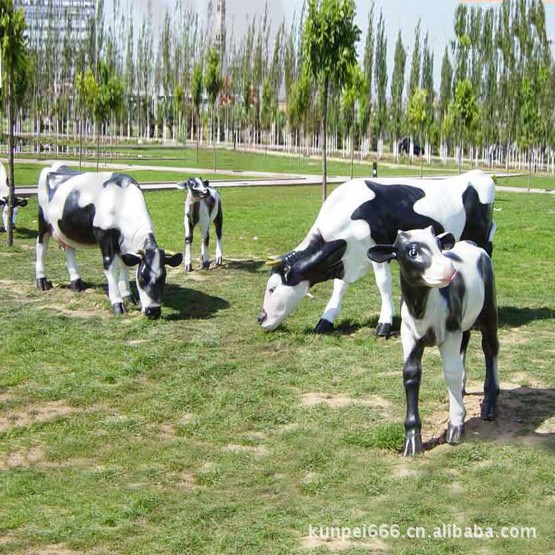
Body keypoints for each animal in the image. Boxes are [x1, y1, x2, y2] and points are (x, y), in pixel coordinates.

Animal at [35, 163, 182, 318]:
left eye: (163, 277)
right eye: (142, 279)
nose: (153, 311)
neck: (122, 200)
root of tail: (54, 166)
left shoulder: (124, 244)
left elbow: (125, 264)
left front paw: (128, 296)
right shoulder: (105, 237)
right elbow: (109, 267)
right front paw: (117, 303)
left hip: (67, 229)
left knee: (70, 249)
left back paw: (77, 284)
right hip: (43, 222)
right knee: (41, 247)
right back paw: (42, 282)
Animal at [256, 169, 496, 334]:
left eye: (272, 288)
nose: (260, 318)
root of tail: (478, 174)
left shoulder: (378, 251)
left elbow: (383, 285)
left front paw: (384, 323)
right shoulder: (347, 258)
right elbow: (339, 287)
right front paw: (326, 320)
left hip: (479, 237)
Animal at [370, 228, 500, 458]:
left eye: (439, 246)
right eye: (411, 251)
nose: (450, 270)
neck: (421, 308)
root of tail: (471, 243)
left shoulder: (450, 332)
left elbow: (451, 372)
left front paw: (456, 426)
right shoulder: (409, 333)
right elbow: (411, 374)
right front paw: (412, 440)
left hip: (488, 310)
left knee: (490, 348)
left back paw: (489, 405)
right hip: (462, 322)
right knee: (466, 344)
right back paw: (463, 390)